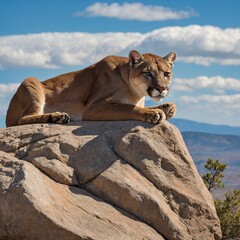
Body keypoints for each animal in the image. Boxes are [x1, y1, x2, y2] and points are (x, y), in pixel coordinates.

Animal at [6, 49, 176, 126]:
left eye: (166, 73)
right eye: (148, 73)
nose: (162, 89)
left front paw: (168, 107)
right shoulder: (94, 107)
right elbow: (128, 108)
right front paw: (154, 113)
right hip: (31, 82)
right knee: (23, 119)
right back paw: (57, 116)